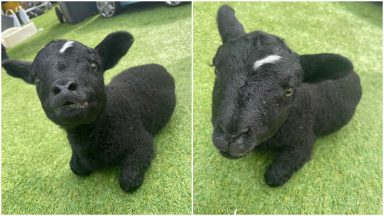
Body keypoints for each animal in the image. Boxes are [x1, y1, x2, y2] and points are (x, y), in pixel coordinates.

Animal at [1, 31, 176, 192]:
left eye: (94, 66)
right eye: (36, 79)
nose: (64, 87)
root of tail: (157, 65)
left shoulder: (142, 142)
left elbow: (128, 181)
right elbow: (75, 168)